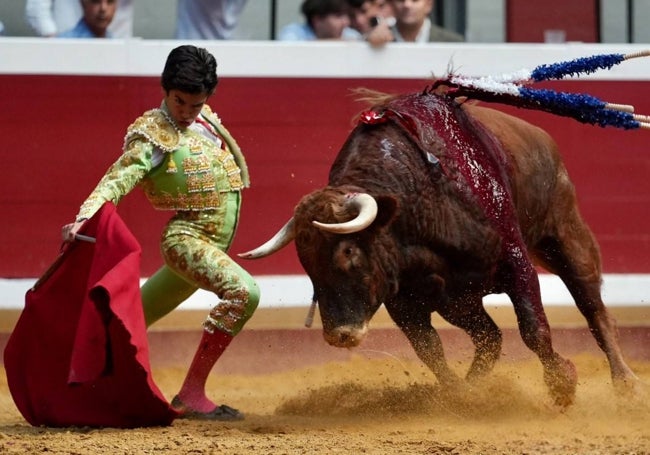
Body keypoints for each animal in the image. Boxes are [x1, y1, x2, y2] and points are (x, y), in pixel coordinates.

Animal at [237, 89, 632, 406]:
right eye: (307, 265)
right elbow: (430, 351)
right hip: (459, 301)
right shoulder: (406, 302)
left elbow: (534, 330)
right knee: (489, 338)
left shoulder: (515, 263)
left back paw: (626, 383)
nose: (340, 336)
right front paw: (458, 395)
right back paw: (477, 388)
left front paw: (563, 384)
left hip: (564, 237)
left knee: (593, 309)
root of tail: (540, 136)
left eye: (348, 253)